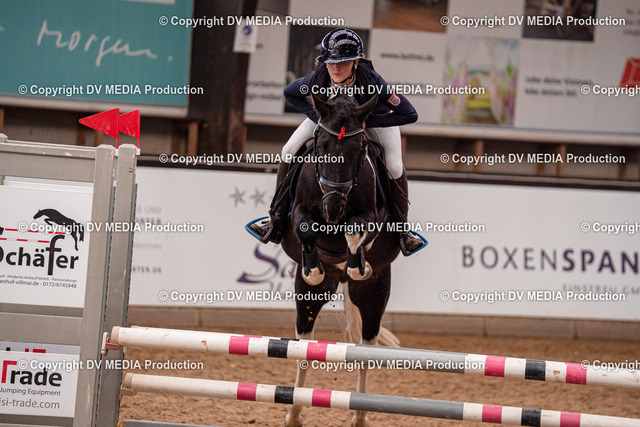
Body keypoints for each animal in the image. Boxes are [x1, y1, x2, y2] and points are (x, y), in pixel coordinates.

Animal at [280, 94, 402, 427]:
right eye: (321, 146)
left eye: (358, 150)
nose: (333, 206)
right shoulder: (300, 211)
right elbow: (305, 228)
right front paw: (313, 268)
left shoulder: (371, 216)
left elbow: (355, 229)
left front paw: (357, 261)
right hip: (308, 299)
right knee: (305, 344)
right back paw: (293, 413)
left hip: (374, 294)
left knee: (366, 349)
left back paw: (359, 415)